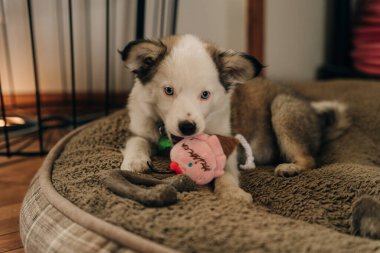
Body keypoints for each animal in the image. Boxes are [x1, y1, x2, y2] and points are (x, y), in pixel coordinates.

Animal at [118, 34, 350, 203]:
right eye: (168, 90)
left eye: (205, 94)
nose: (188, 127)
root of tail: (318, 121)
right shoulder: (139, 128)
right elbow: (137, 142)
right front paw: (135, 161)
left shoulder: (225, 143)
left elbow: (227, 173)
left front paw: (231, 192)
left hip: (282, 107)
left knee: (310, 160)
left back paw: (291, 168)